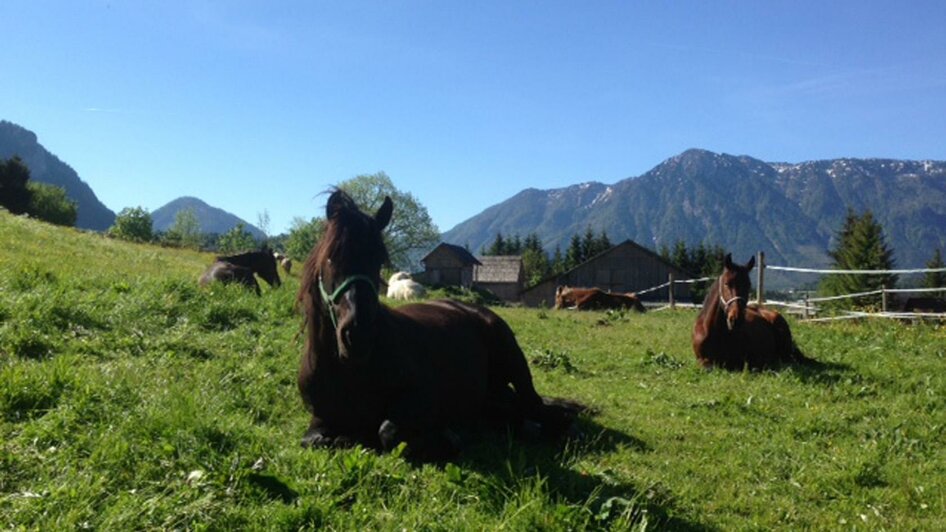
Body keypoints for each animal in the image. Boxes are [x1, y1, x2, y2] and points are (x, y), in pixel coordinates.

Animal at [296, 191, 584, 462]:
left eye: (378, 260)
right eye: (331, 258)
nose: (359, 334)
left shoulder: (424, 396)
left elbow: (387, 431)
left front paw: (446, 438)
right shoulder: (319, 421)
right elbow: (317, 440)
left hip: (514, 361)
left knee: (535, 406)